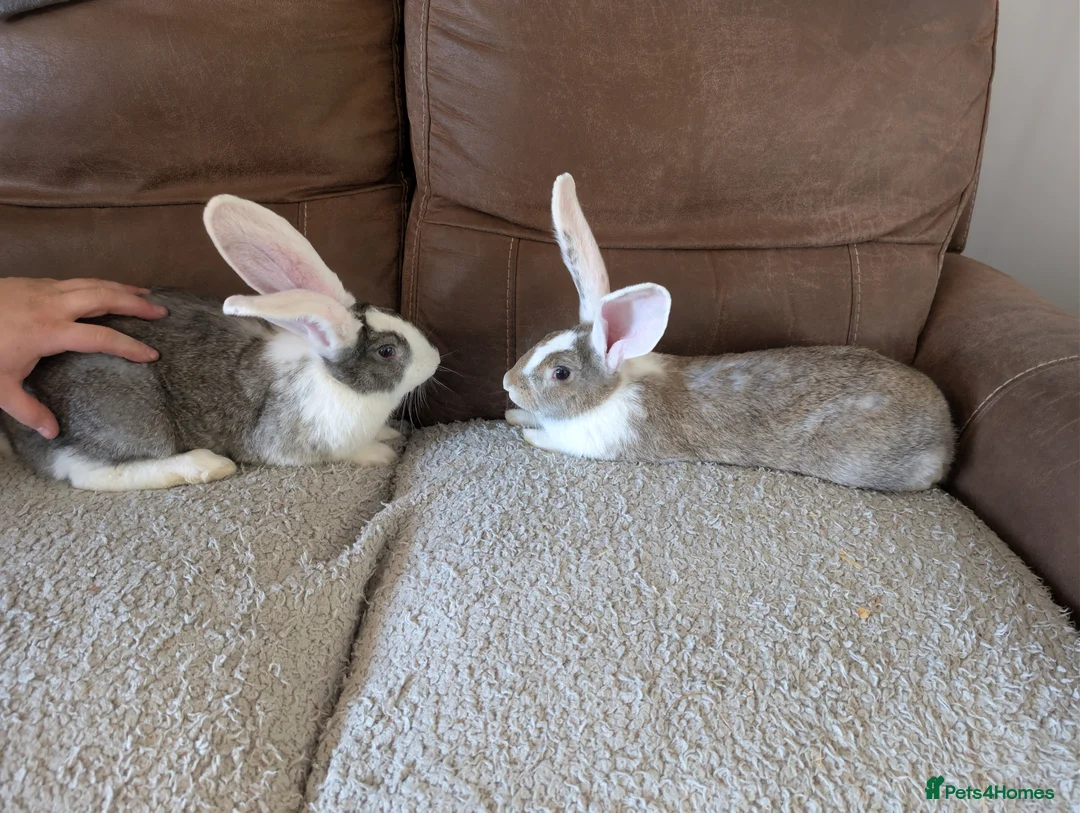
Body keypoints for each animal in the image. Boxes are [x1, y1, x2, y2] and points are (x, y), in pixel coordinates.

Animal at [0, 195, 440, 491]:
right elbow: (346, 452)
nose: (434, 359)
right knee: (90, 472)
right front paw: (382, 453)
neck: (334, 381)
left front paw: (389, 435)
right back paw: (206, 466)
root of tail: (18, 435)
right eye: (387, 351)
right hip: (129, 413)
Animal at [502, 174, 955, 492]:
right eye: (544, 338)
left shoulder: (596, 443)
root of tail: (947, 435)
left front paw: (524, 431)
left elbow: (547, 439)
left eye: (561, 373)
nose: (507, 383)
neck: (610, 392)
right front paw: (513, 415)